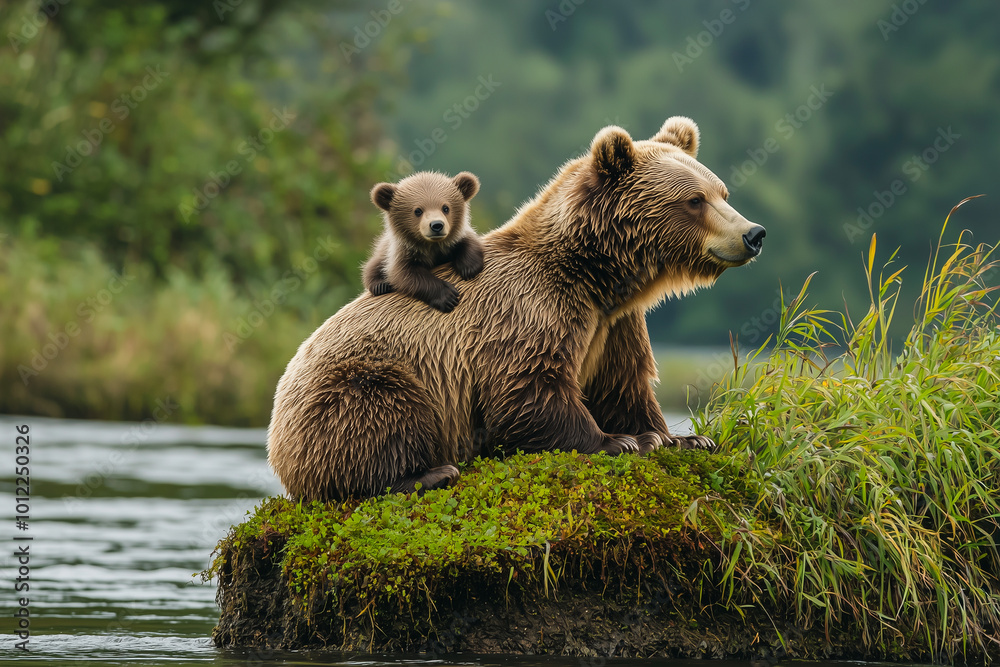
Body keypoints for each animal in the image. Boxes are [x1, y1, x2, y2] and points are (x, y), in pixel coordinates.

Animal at [363, 171, 485, 313]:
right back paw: (380, 285)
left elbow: (469, 241)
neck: (432, 246)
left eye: (445, 208)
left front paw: (468, 267)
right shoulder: (404, 251)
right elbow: (406, 274)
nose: (437, 225)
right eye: (418, 210)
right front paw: (448, 296)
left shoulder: (455, 238)